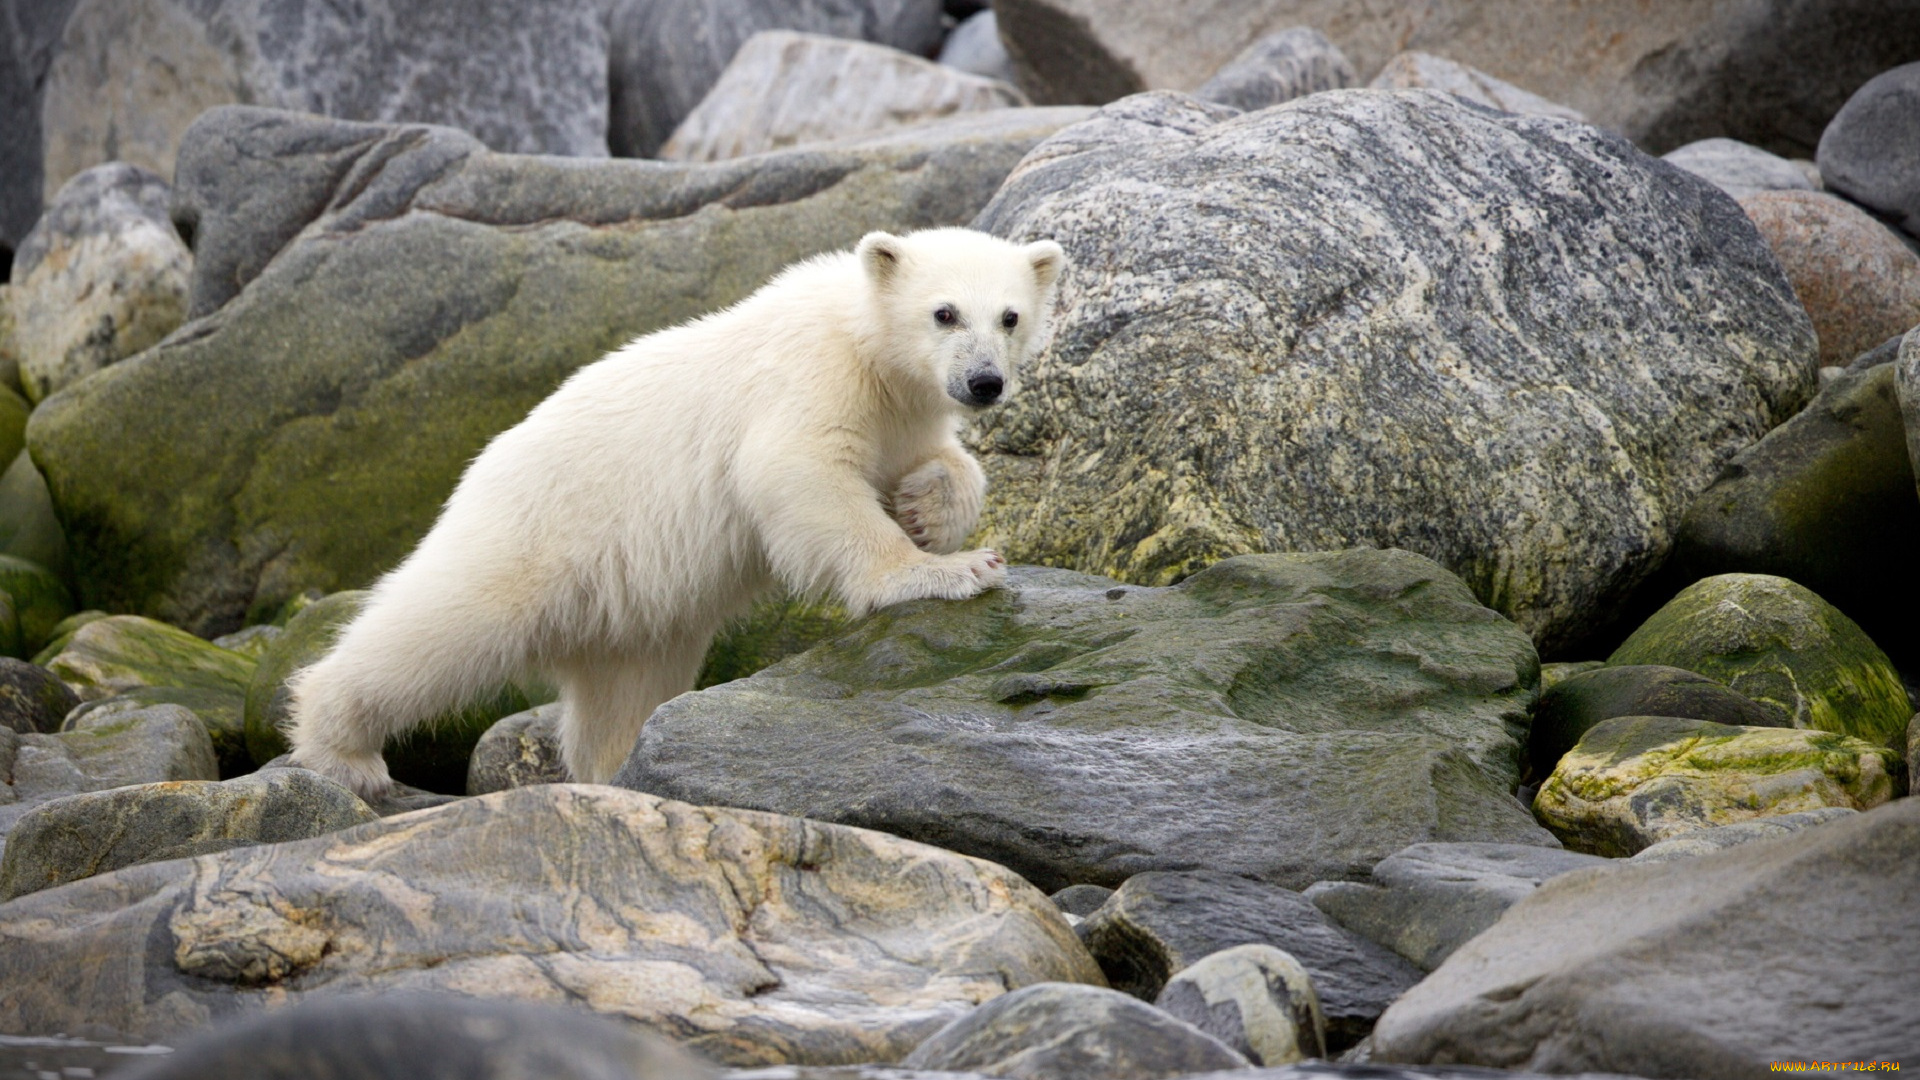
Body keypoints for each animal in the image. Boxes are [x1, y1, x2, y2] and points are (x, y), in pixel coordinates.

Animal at [288, 226, 1067, 795]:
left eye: (1010, 316)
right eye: (944, 312)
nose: (984, 382)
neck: (864, 345)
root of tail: (477, 473)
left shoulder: (903, 410)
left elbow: (941, 461)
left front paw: (930, 512)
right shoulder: (809, 378)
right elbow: (798, 473)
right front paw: (948, 570)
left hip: (634, 611)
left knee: (625, 692)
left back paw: (618, 770)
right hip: (534, 534)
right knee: (437, 628)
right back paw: (340, 746)